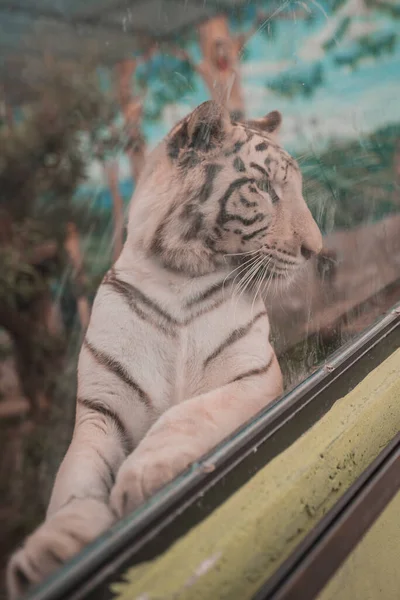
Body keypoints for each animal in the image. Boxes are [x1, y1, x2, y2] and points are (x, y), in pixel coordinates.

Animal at [6, 101, 322, 596]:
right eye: (264, 187)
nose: (316, 249)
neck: (179, 277)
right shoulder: (101, 409)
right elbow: (73, 476)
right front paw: (52, 546)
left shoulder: (254, 374)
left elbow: (188, 413)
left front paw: (143, 475)